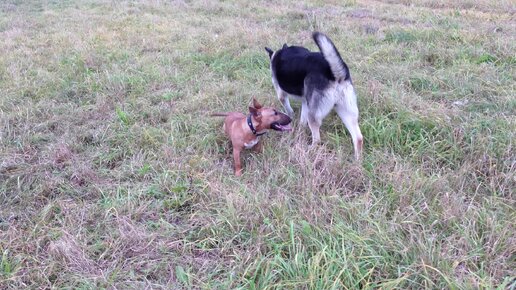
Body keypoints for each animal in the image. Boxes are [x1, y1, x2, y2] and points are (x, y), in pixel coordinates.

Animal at [266, 32, 362, 161]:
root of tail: (336, 74)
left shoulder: (281, 94)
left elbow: (289, 110)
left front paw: (291, 118)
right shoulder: (306, 102)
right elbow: (302, 119)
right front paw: (300, 128)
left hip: (314, 116)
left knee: (317, 140)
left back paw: (310, 150)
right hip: (346, 112)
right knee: (358, 138)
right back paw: (357, 160)